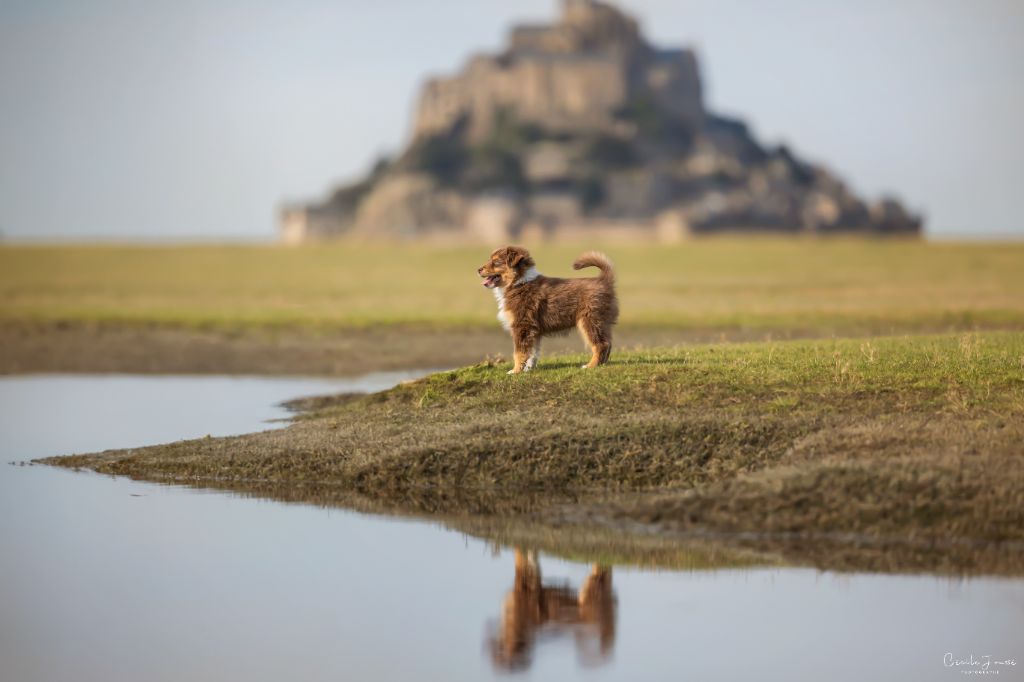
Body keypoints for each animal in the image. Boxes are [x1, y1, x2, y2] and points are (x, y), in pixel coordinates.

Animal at [477, 244, 614, 372]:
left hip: (590, 320)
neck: (518, 282)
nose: (478, 270)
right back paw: (602, 364)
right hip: (601, 322)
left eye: (496, 262)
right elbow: (532, 352)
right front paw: (528, 369)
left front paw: (515, 371)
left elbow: (519, 352)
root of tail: (603, 280)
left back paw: (590, 366)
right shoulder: (533, 330)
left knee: (601, 344)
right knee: (608, 343)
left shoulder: (522, 326)